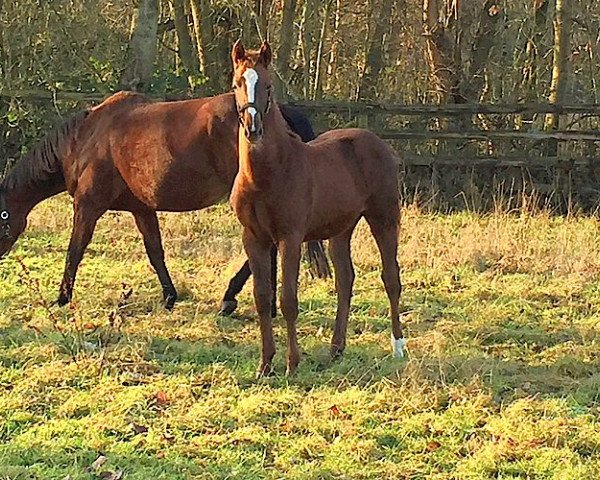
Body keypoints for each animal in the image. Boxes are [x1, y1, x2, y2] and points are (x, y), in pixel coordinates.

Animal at [230, 41, 408, 376]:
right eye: (237, 84)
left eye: (268, 86)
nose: (253, 129)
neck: (267, 174)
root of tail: (381, 145)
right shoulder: (253, 238)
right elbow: (262, 298)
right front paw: (265, 365)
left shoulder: (289, 238)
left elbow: (287, 299)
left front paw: (292, 364)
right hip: (341, 229)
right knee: (345, 279)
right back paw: (337, 348)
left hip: (384, 219)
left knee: (391, 278)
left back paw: (398, 347)